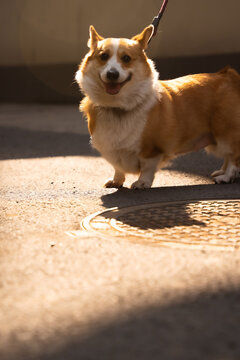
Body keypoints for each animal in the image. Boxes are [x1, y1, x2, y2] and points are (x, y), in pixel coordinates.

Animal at [75, 25, 240, 188]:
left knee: (233, 156)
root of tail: (229, 76)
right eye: (103, 56)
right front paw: (116, 181)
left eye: (126, 58)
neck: (117, 106)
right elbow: (118, 167)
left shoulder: (151, 150)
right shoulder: (114, 150)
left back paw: (226, 176)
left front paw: (142, 183)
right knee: (228, 156)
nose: (112, 74)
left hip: (225, 133)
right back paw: (221, 172)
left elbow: (147, 168)